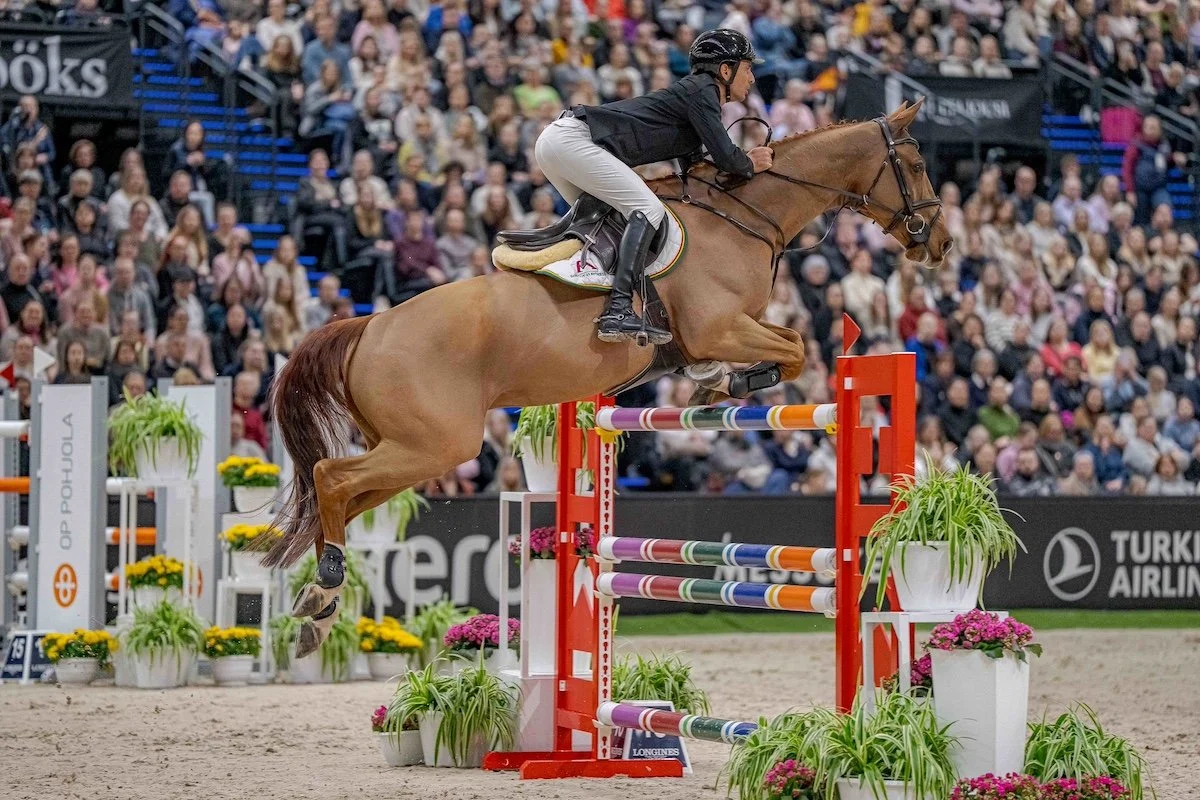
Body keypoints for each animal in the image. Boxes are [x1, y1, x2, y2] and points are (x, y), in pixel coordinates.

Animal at [264, 99, 953, 657]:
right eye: (917, 163)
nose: (941, 244)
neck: (745, 214)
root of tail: (369, 325)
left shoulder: (719, 333)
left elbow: (780, 350)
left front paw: (709, 384)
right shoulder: (720, 326)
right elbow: (796, 349)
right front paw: (732, 384)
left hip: (412, 450)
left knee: (338, 501)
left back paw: (316, 607)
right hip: (437, 444)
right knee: (331, 478)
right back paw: (323, 592)